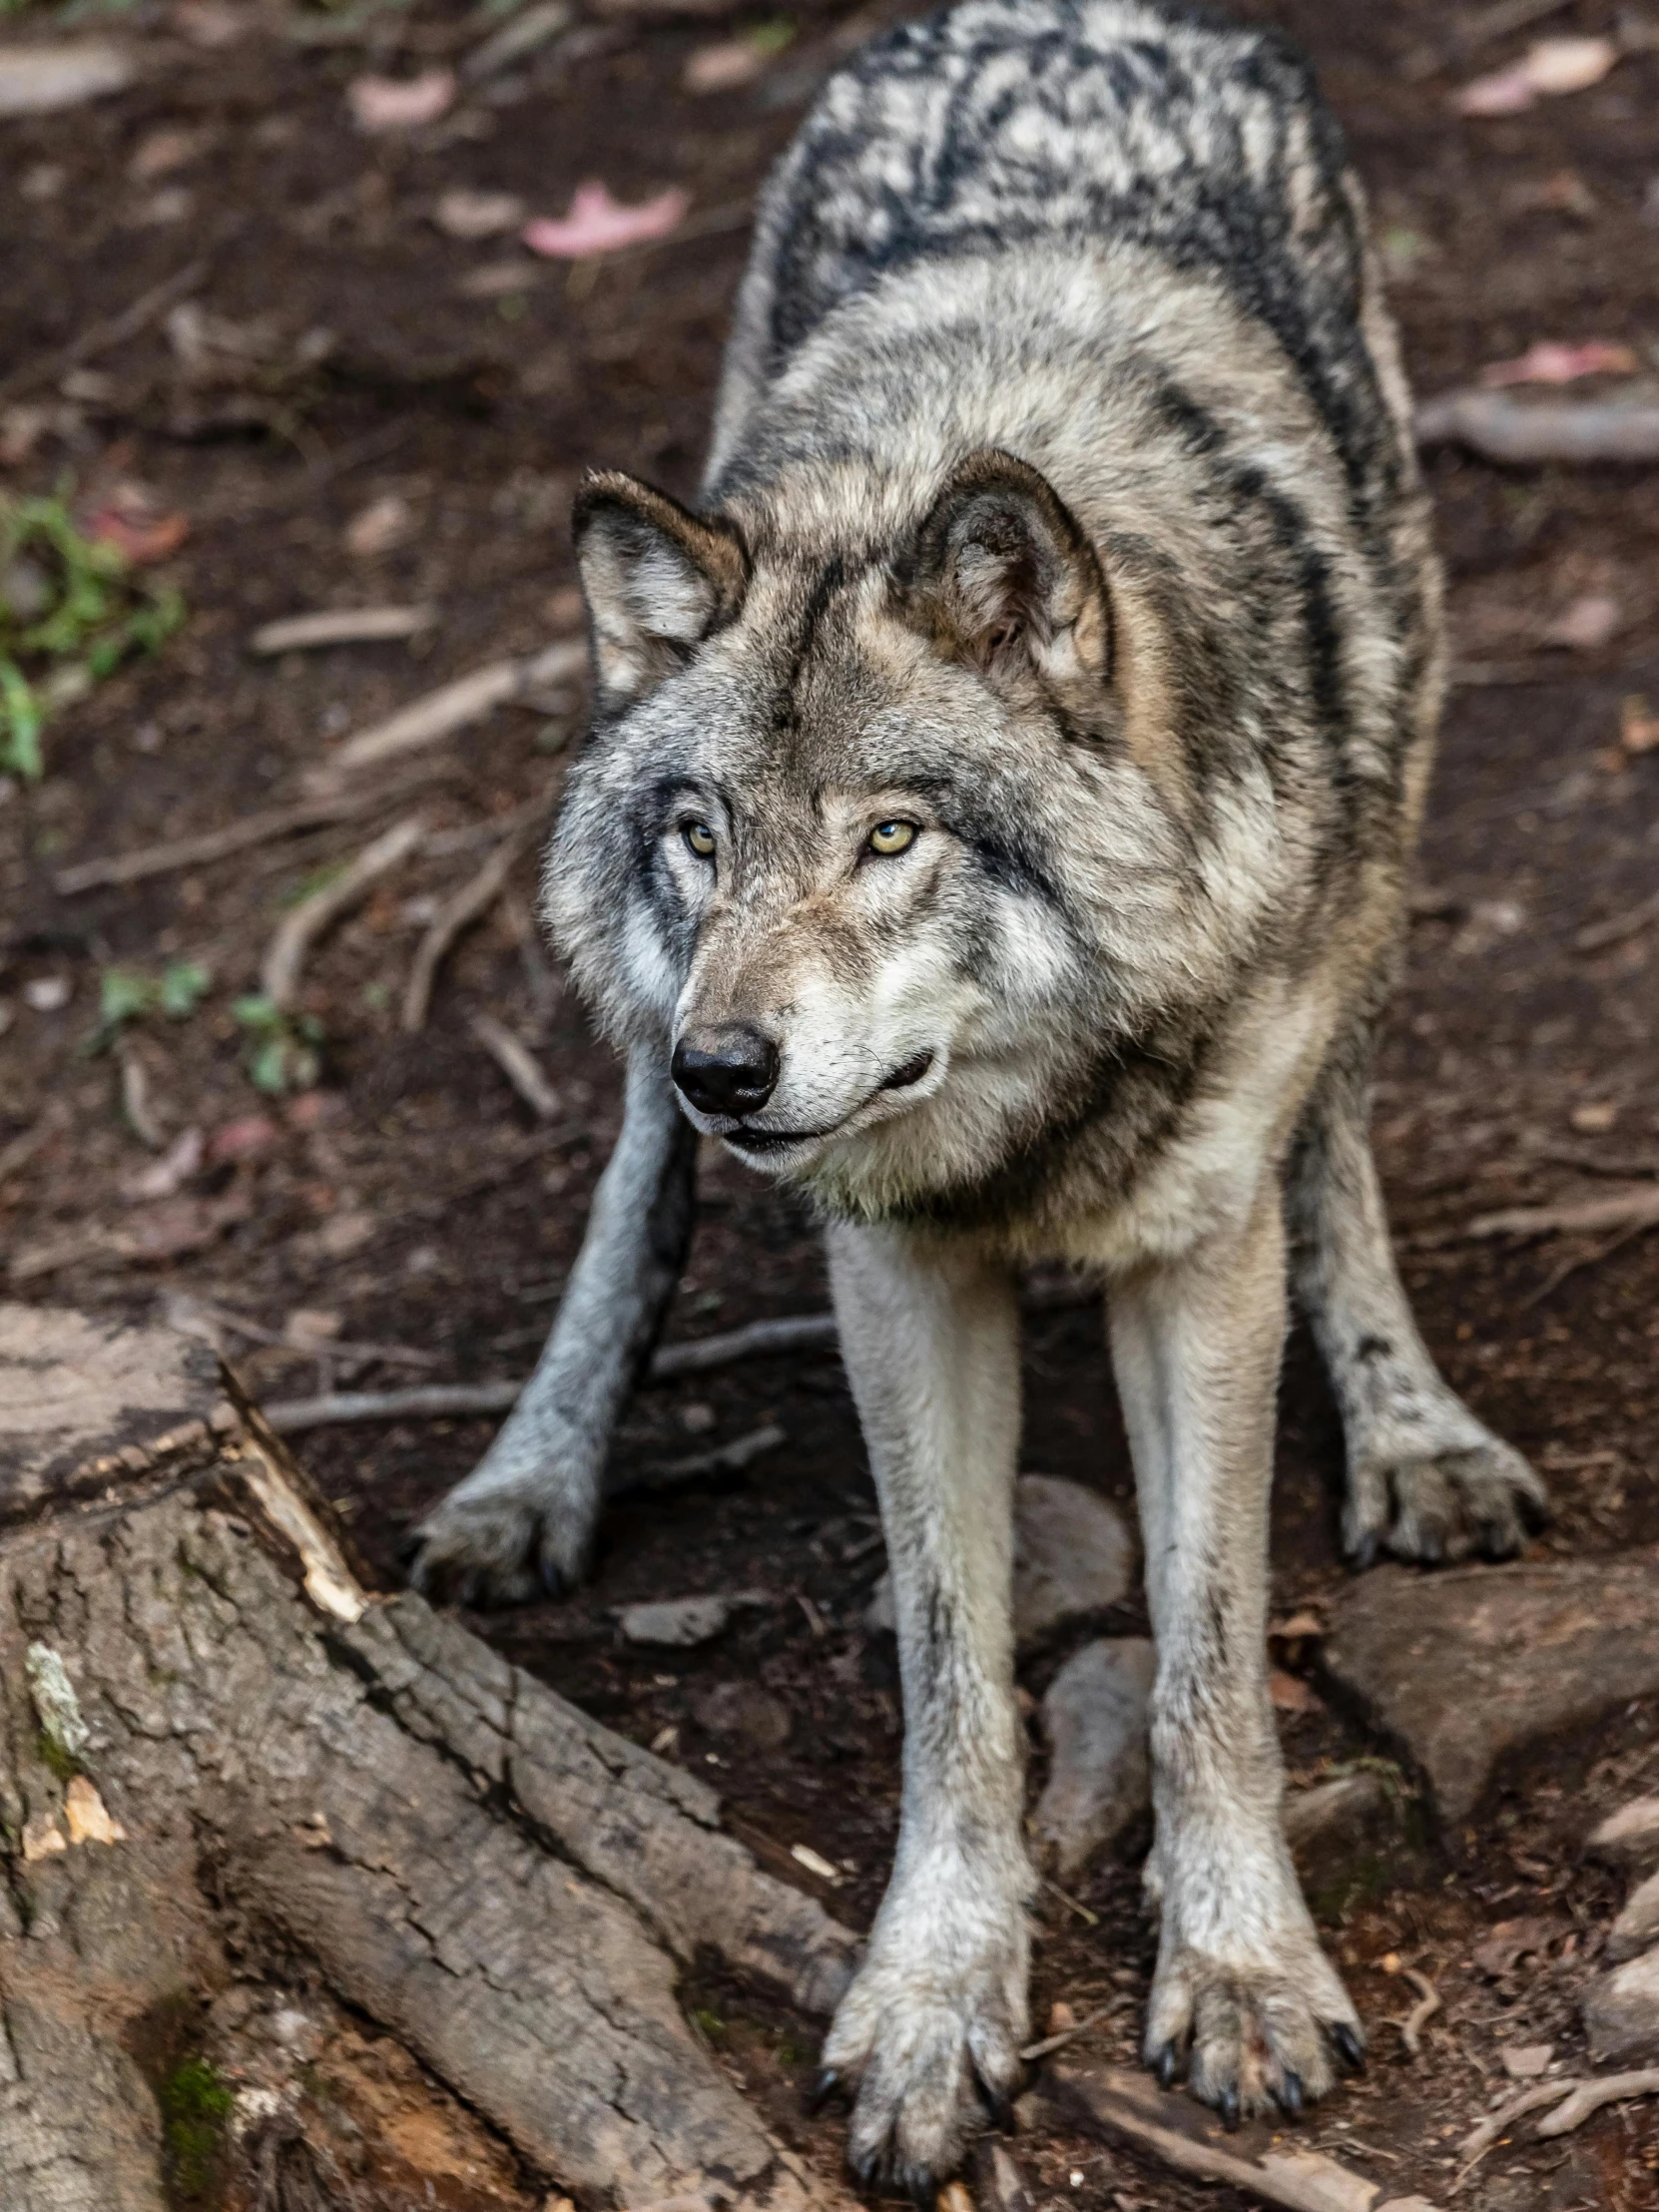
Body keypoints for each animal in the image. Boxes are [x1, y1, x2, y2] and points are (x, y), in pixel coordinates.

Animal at [408, 0, 1557, 2176]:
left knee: (1342, 1150)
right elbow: (956, 1674)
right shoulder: (893, 1270)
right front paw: (934, 1998)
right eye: (701, 833)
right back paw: (534, 1469)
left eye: (891, 838)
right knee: (629, 1188)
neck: (1033, 1115)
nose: (735, 1064)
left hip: (1390, 831)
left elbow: (1206, 1654)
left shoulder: (1198, 1264)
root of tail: (1062, 14)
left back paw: (1417, 1429)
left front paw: (1240, 1969)